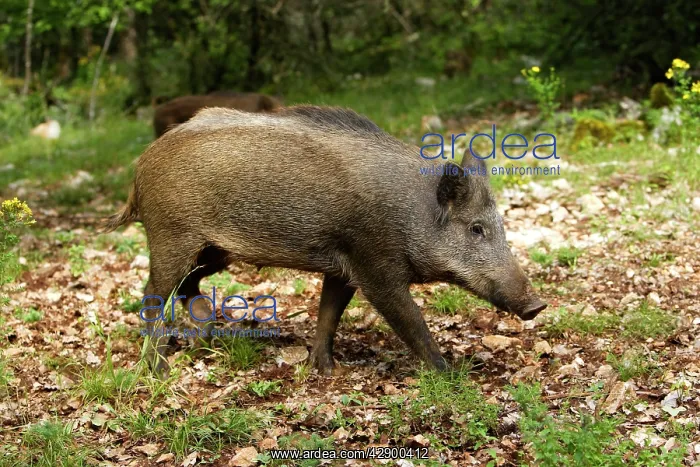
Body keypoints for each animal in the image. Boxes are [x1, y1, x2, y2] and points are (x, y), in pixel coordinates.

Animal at [105, 105, 546, 375]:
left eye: (501, 224)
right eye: (476, 228)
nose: (537, 305)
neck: (411, 212)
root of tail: (140, 168)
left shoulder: (343, 265)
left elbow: (329, 312)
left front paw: (323, 368)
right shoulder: (374, 263)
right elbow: (411, 320)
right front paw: (450, 373)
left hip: (214, 252)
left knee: (188, 286)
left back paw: (205, 340)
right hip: (171, 236)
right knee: (153, 292)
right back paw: (160, 367)